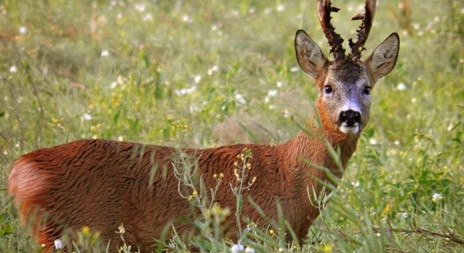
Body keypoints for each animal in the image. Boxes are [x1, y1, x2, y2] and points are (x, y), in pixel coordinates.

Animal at [8, 0, 398, 251]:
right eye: (327, 87)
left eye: (367, 87)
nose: (350, 116)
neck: (289, 175)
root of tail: (18, 170)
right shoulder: (252, 235)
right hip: (75, 235)